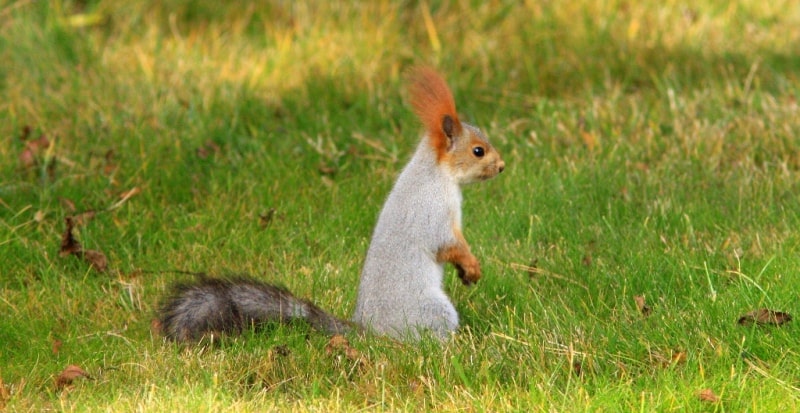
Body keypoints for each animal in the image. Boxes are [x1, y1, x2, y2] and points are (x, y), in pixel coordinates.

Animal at [159, 67, 504, 342]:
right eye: (478, 151)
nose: (501, 167)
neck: (436, 172)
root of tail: (371, 332)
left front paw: (467, 272)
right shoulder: (433, 211)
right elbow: (447, 243)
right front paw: (471, 265)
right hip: (432, 310)